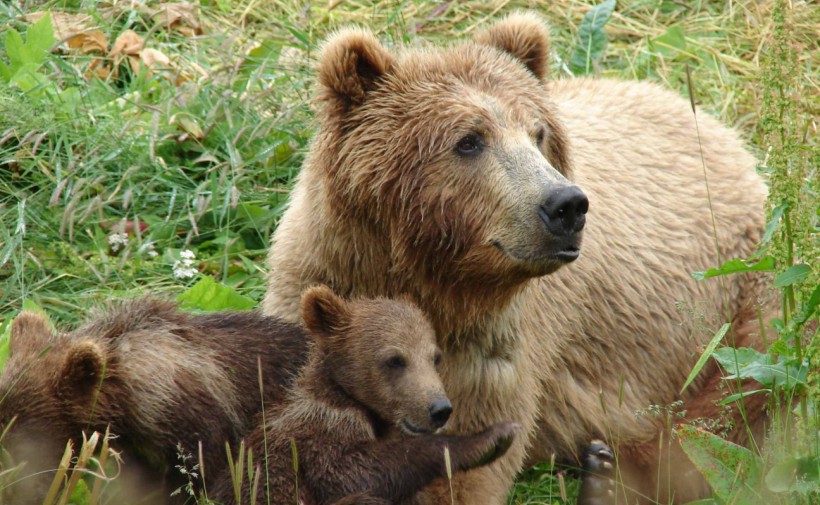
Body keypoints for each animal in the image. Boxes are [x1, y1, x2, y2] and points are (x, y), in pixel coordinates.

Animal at [262, 11, 768, 504]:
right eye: (469, 140)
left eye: (538, 133)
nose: (566, 205)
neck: (427, 279)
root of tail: (712, 122)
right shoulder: (318, 288)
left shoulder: (492, 351)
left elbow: (464, 469)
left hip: (742, 285)